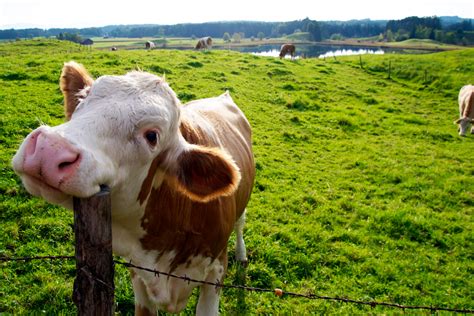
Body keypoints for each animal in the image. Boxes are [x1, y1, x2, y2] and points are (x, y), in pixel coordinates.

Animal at [12, 61, 256, 314]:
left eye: (152, 136)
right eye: (83, 99)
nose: (48, 149)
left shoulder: (215, 271)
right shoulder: (139, 273)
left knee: (240, 224)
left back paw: (242, 254)